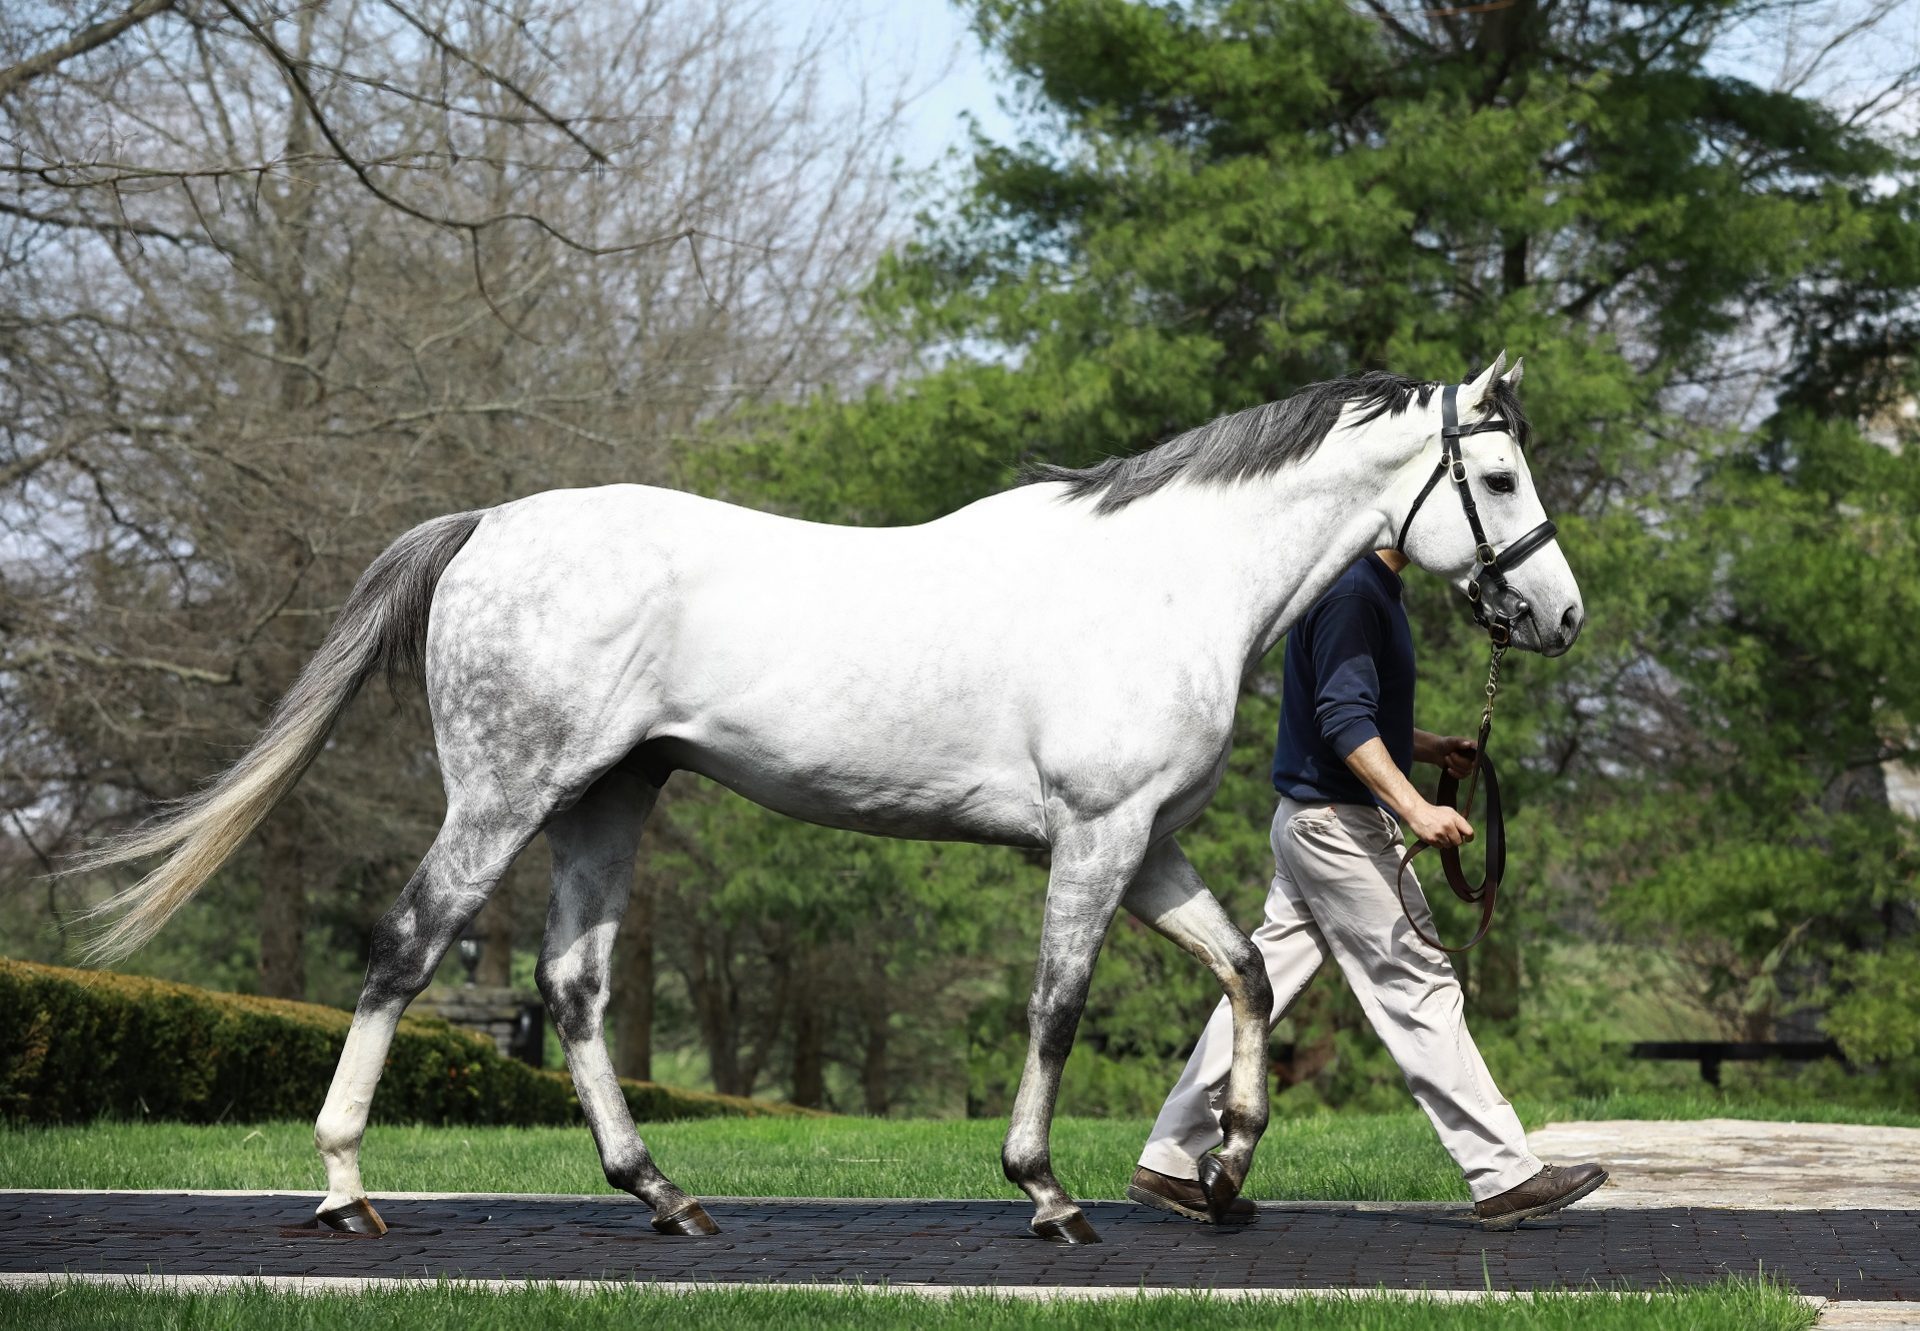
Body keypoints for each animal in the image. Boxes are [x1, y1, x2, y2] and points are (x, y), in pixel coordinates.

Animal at [82, 349, 1582, 1236]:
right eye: (1500, 473)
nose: (1560, 615)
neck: (1165, 580)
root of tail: (486, 525)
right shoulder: (1093, 837)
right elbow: (1057, 1003)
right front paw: (1047, 1189)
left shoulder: (1145, 841)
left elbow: (1246, 977)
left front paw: (1221, 1171)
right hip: (507, 793)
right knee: (405, 948)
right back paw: (345, 1186)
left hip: (609, 799)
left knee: (574, 982)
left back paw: (663, 1191)